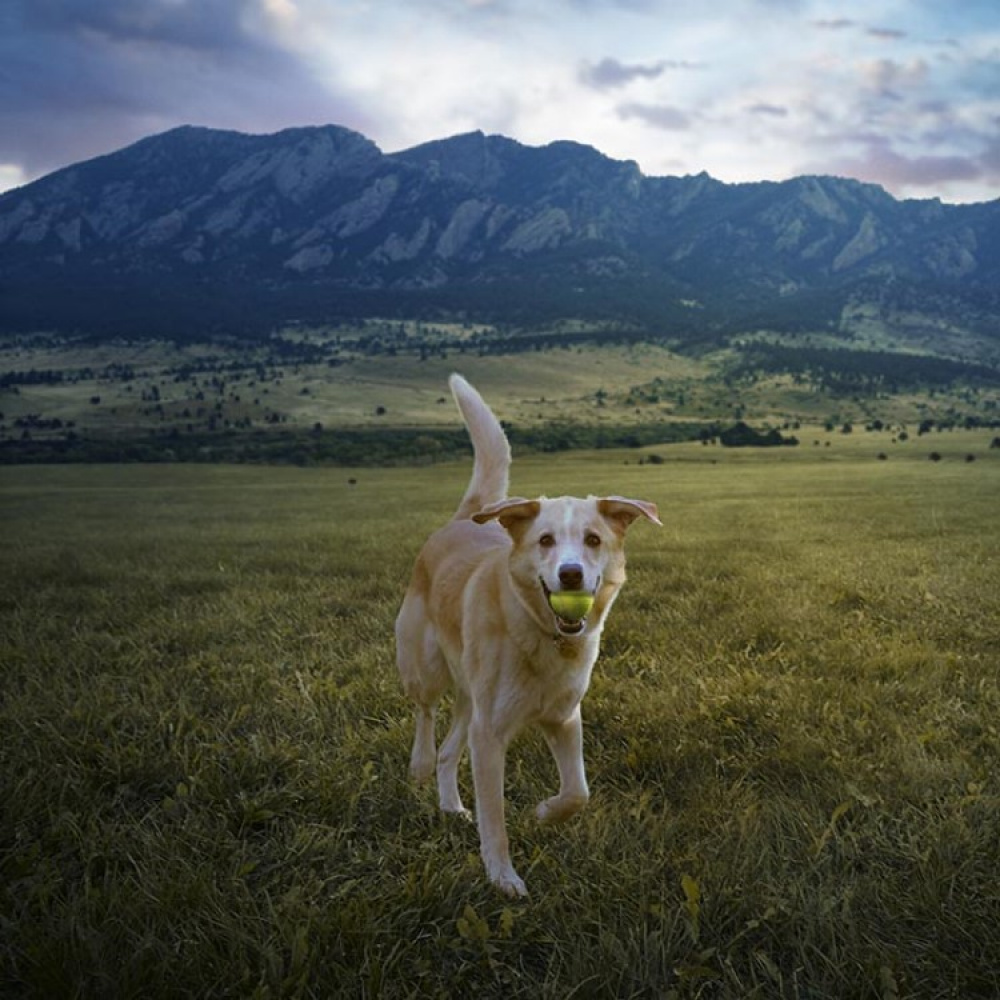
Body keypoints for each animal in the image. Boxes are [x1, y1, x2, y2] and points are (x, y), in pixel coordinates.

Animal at [394, 376, 660, 900]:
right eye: (545, 540)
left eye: (593, 539)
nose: (571, 575)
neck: (542, 636)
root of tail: (461, 520)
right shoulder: (490, 736)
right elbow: (494, 818)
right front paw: (503, 877)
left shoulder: (563, 719)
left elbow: (578, 792)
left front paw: (543, 813)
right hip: (426, 667)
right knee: (425, 714)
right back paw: (419, 765)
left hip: (471, 699)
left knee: (450, 749)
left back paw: (451, 805)